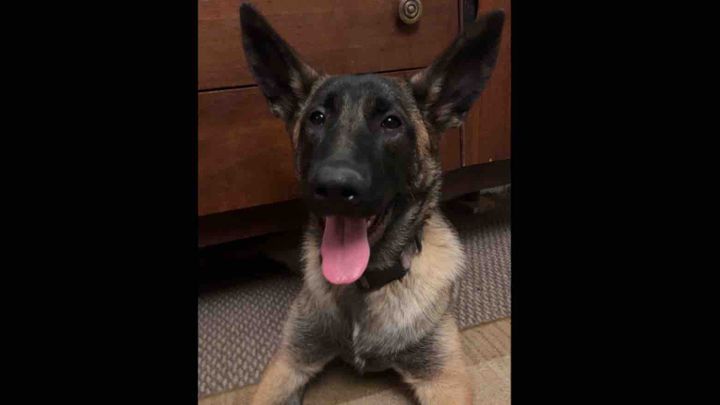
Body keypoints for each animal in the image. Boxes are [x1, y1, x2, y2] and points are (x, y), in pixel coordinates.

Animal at [239, 4, 504, 404]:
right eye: (317, 118)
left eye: (391, 122)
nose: (334, 187)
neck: (364, 285)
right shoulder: (287, 363)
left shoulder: (444, 379)